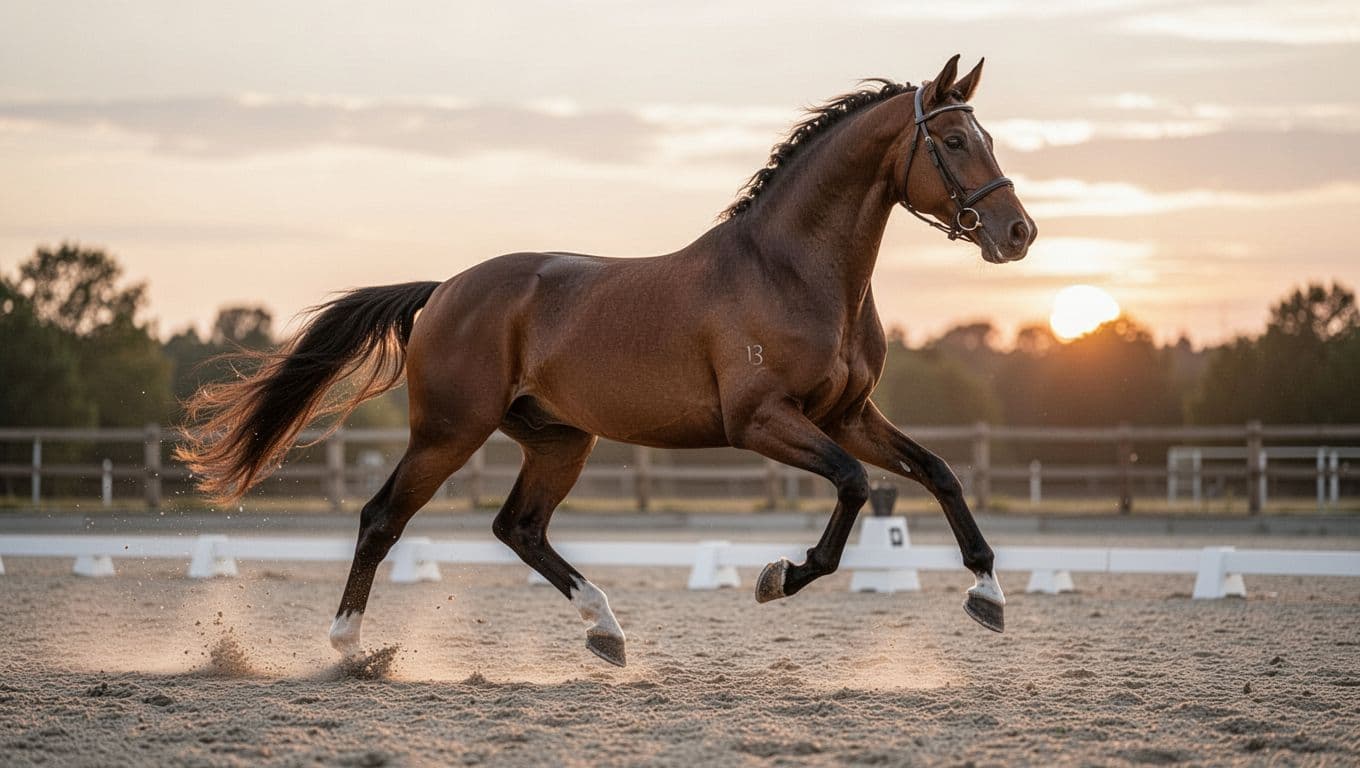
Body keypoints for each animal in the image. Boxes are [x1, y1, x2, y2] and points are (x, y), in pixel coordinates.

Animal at [178, 55, 1036, 668]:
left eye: (987, 137)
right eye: (953, 141)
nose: (1018, 233)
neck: (793, 271)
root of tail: (445, 290)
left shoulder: (849, 415)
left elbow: (938, 473)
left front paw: (990, 595)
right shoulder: (762, 422)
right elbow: (856, 488)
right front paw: (779, 578)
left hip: (559, 439)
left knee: (518, 527)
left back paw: (607, 630)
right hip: (450, 433)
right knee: (382, 518)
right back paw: (350, 648)